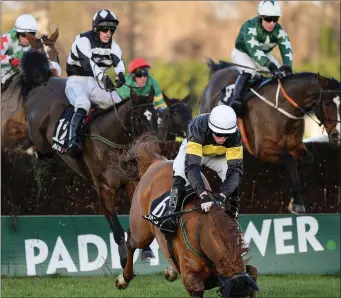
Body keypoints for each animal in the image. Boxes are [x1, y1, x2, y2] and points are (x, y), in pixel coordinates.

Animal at [17, 49, 158, 268]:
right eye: (138, 118)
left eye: (156, 115)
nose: (152, 146)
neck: (111, 142)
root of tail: (41, 84)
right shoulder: (104, 189)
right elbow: (116, 226)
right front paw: (123, 256)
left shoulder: (131, 182)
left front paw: (147, 249)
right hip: (41, 140)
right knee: (41, 150)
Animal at [112, 136, 258, 298]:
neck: (203, 232)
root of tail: (156, 162)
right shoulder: (191, 280)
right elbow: (195, 286)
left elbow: (253, 271)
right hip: (141, 232)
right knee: (131, 242)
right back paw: (124, 278)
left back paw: (170, 271)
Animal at [198, 60, 338, 214]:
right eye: (327, 102)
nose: (337, 136)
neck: (284, 109)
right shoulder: (263, 149)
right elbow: (290, 160)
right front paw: (297, 203)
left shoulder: (294, 145)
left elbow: (308, 159)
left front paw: (296, 199)